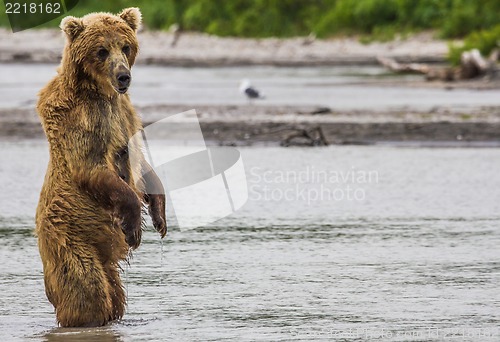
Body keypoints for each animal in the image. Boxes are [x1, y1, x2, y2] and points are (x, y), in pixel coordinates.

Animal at [36, 8, 168, 328]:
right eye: (101, 50)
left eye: (126, 46)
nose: (123, 76)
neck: (101, 92)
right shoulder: (83, 120)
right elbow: (92, 167)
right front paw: (134, 230)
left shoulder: (124, 114)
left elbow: (141, 161)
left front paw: (159, 215)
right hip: (69, 239)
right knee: (87, 289)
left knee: (114, 293)